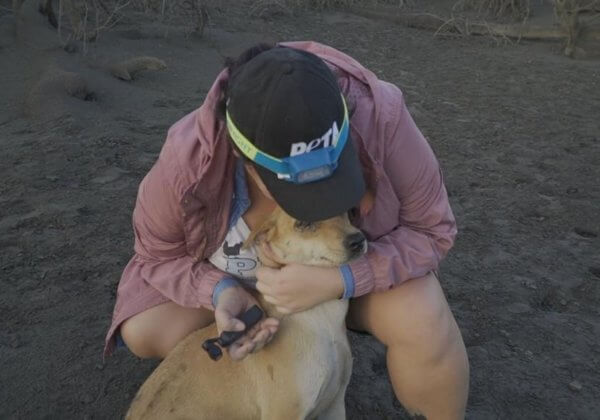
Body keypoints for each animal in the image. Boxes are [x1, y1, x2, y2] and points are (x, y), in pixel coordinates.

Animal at [126, 209, 366, 420]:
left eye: (346, 210)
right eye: (303, 223)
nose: (358, 240)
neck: (320, 318)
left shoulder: (334, 405)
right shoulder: (284, 413)